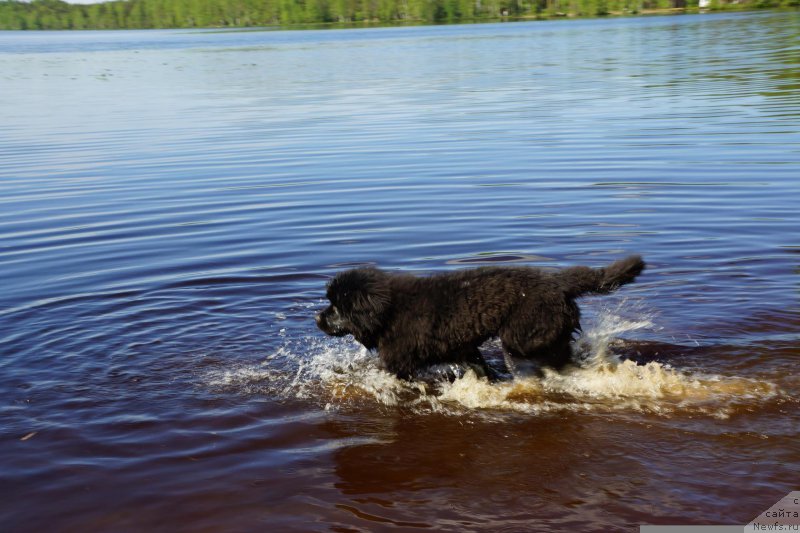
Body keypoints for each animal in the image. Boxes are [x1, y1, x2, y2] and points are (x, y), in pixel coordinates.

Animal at [316, 254, 648, 378]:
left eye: (337, 307)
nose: (317, 319)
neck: (389, 311)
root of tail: (557, 281)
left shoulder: (398, 360)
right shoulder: (461, 349)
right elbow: (478, 365)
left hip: (522, 334)